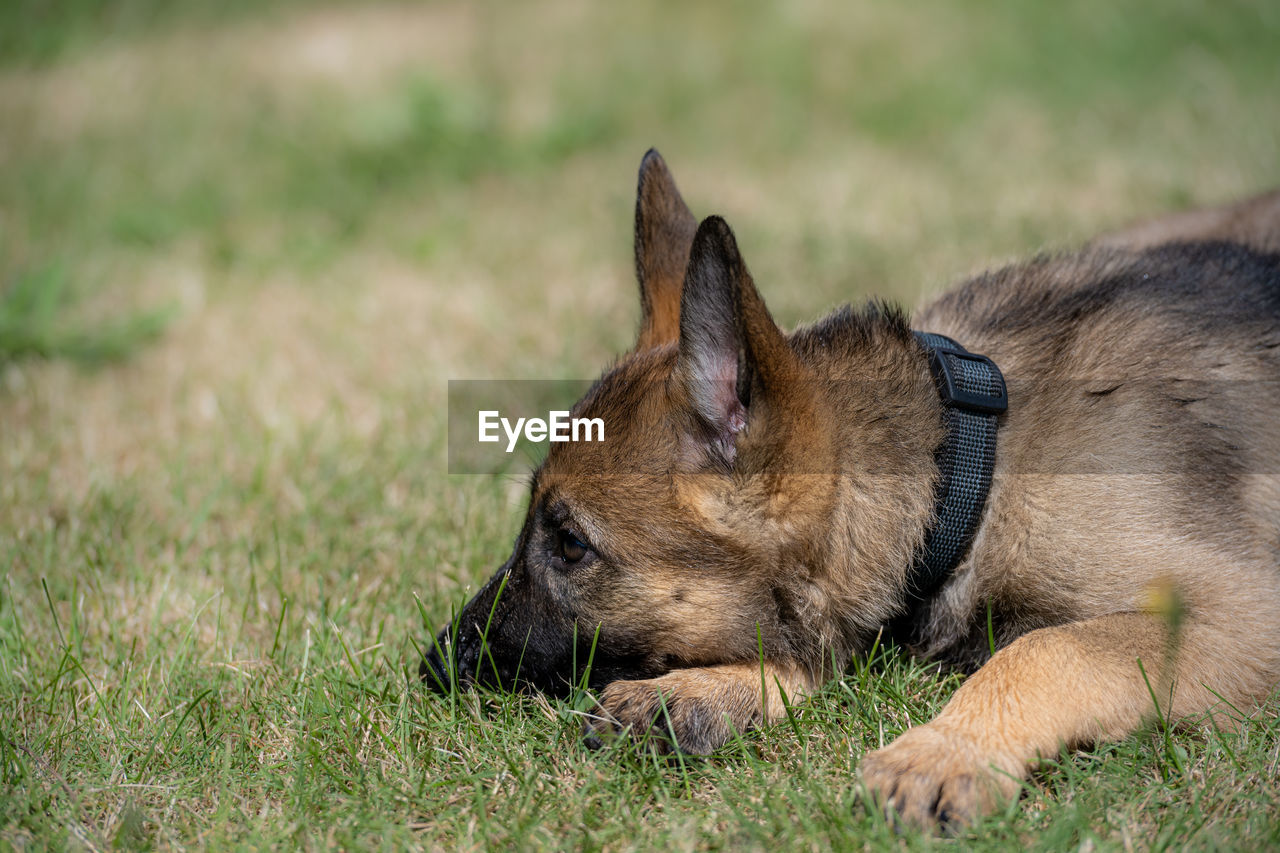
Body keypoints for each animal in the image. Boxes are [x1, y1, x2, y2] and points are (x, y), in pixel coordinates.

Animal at [424, 151, 1280, 824]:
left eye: (570, 543)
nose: (436, 665)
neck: (966, 470)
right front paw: (704, 691)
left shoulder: (1240, 613)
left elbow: (1049, 646)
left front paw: (944, 749)